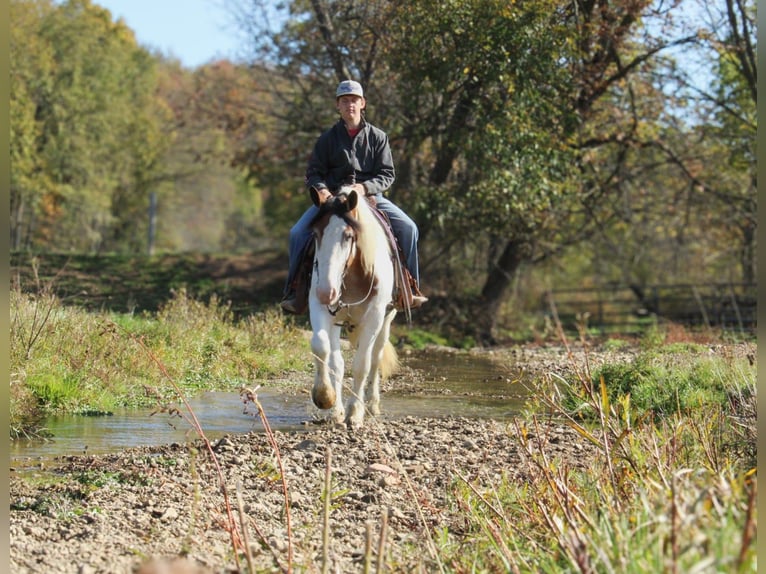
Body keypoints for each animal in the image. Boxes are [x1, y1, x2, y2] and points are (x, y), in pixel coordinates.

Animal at [308, 186, 402, 428]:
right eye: (315, 234)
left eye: (348, 236)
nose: (326, 292)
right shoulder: (320, 308)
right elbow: (322, 348)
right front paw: (325, 398)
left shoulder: (375, 317)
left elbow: (362, 364)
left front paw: (355, 413)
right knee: (338, 360)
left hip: (386, 320)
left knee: (376, 357)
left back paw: (372, 404)